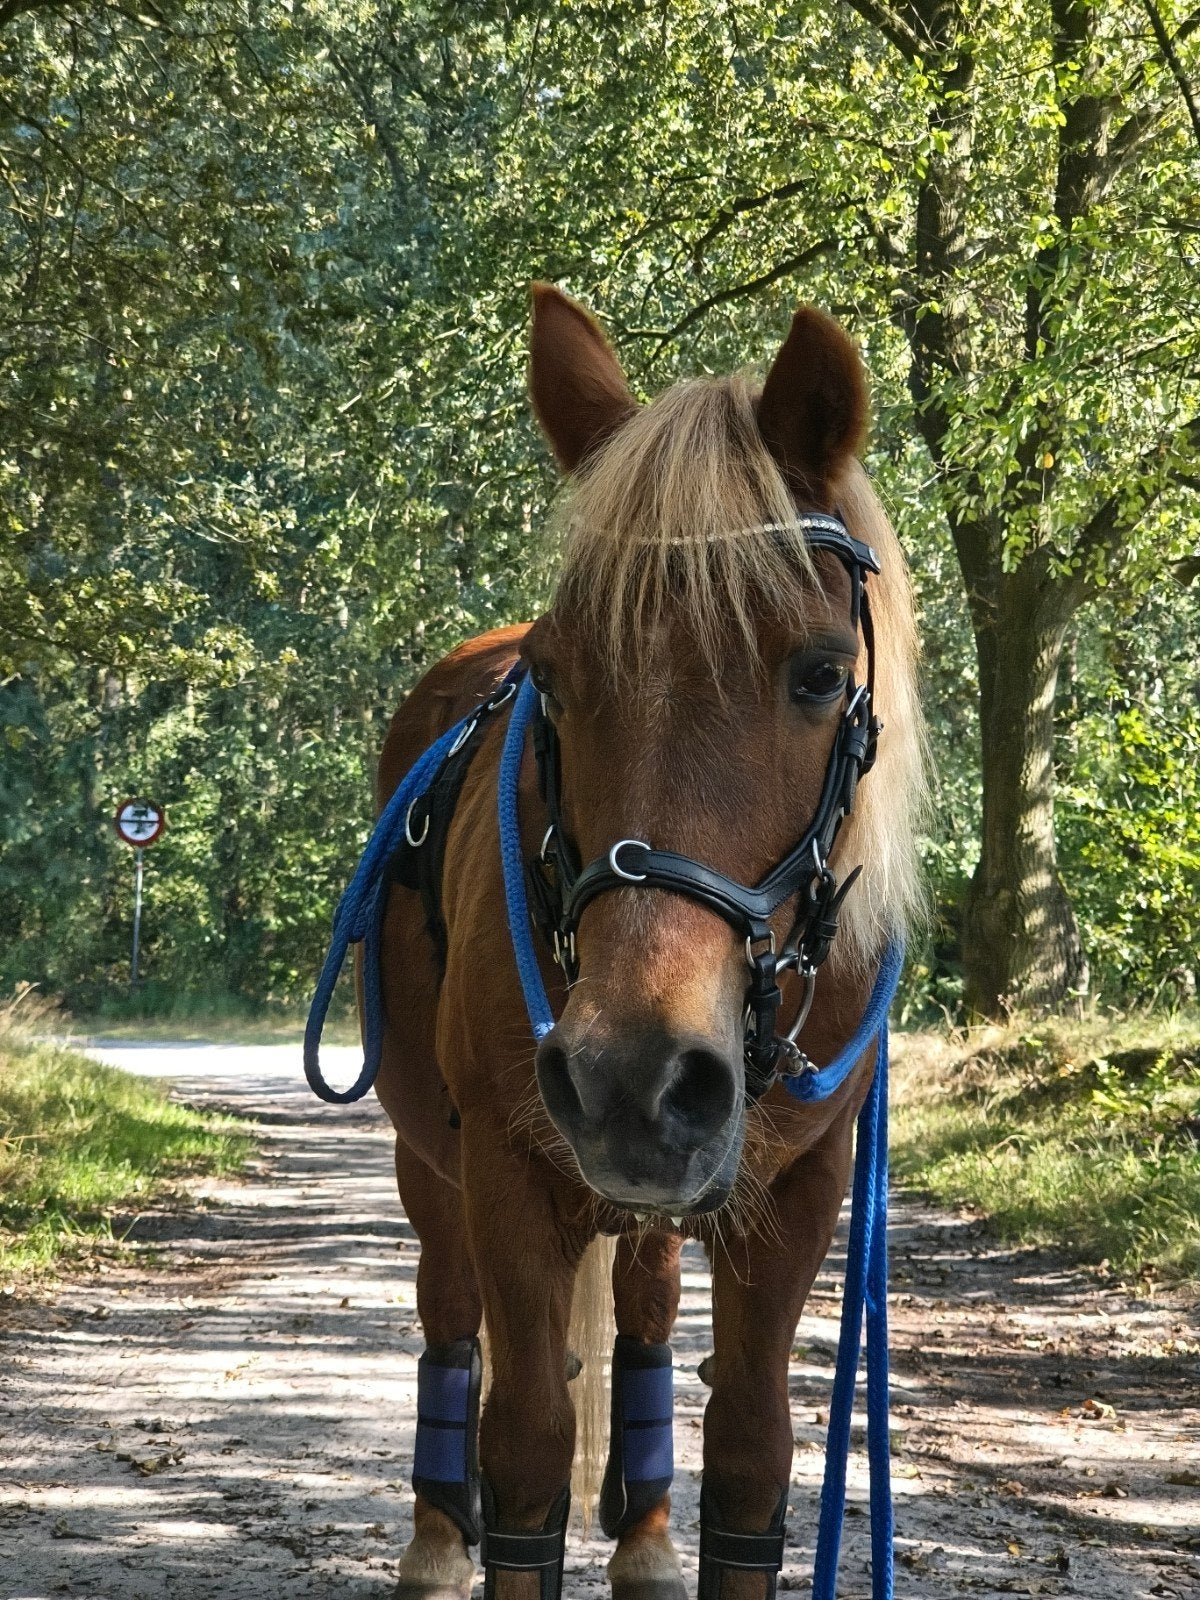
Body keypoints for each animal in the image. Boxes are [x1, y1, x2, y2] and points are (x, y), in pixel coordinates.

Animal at [367, 284, 924, 1600]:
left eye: (820, 673)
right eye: (557, 677)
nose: (630, 1075)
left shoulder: (798, 1189)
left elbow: (754, 1457)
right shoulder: (508, 1175)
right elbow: (522, 1451)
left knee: (649, 1316)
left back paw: (648, 1535)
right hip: (434, 1164)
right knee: (448, 1316)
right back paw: (434, 1537)